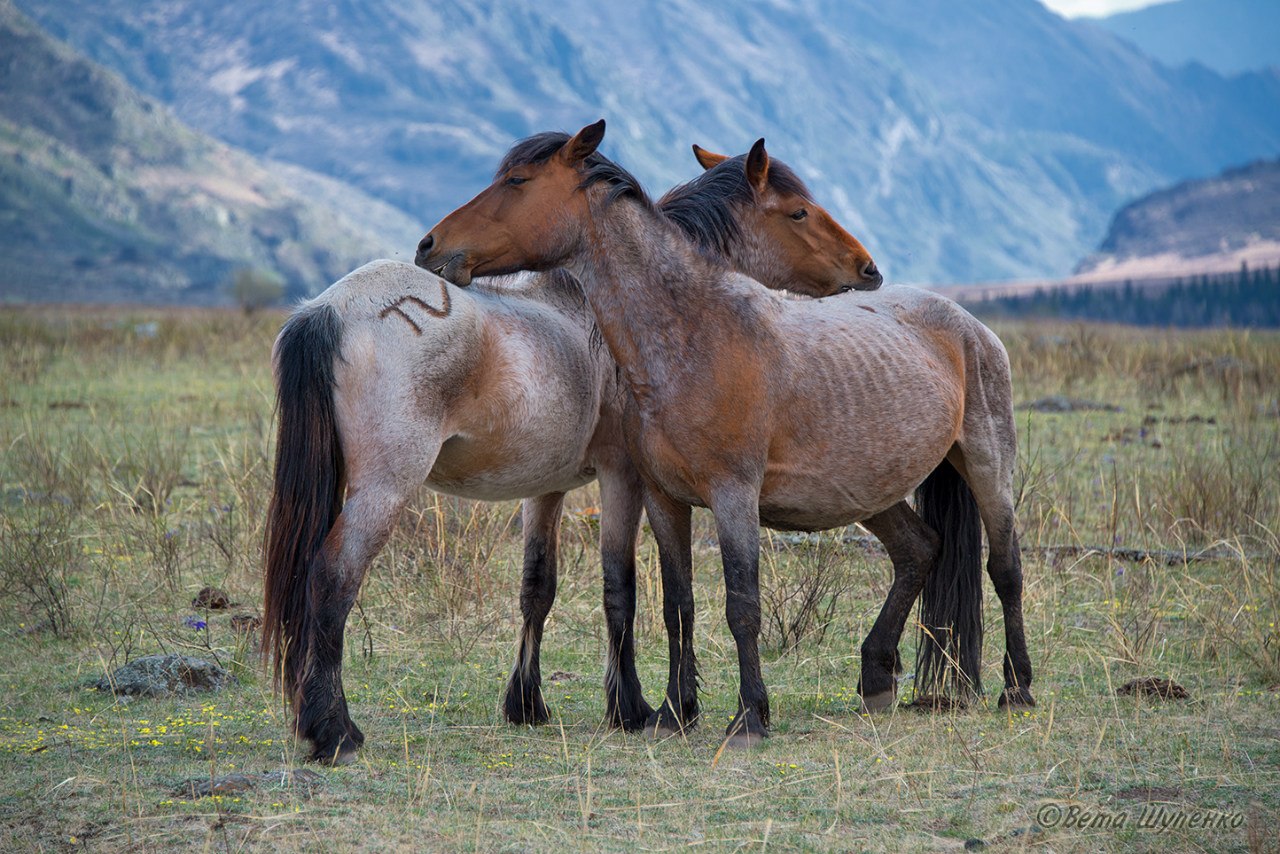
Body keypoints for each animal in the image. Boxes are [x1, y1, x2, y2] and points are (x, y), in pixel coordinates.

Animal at [259, 135, 880, 768]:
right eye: (798, 212)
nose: (867, 268)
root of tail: (329, 308)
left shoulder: (547, 486)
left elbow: (537, 588)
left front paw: (526, 703)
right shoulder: (624, 477)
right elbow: (620, 589)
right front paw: (631, 708)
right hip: (384, 489)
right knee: (332, 578)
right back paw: (334, 730)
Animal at [422, 121, 1039, 747]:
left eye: (518, 181)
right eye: (798, 212)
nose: (430, 246)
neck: (693, 336)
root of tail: (969, 325)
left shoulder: (732, 495)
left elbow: (741, 603)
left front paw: (748, 715)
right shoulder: (663, 497)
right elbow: (677, 603)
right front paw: (673, 711)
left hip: (986, 464)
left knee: (1005, 568)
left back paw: (1017, 689)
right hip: (869, 489)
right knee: (919, 550)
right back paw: (876, 676)